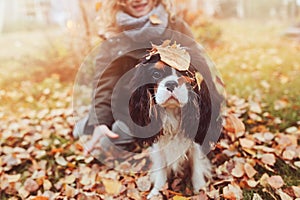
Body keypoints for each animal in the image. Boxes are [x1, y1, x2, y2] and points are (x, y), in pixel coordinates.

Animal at [125, 43, 224, 198]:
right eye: (156, 74)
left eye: (186, 73)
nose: (171, 83)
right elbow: (160, 168)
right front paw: (157, 191)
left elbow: (196, 164)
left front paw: (199, 189)